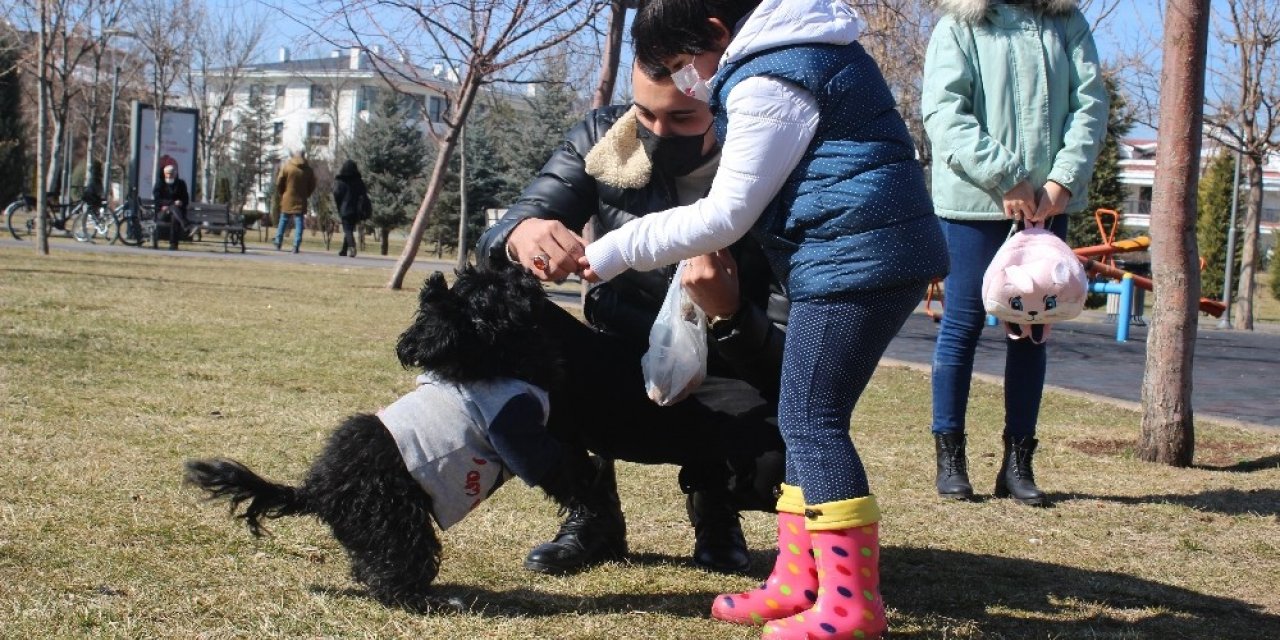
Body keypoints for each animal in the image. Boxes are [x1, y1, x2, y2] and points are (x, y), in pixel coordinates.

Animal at [183, 264, 601, 609]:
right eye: (497, 285)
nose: (521, 266)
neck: (491, 357)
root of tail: (316, 491)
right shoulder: (516, 429)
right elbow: (560, 469)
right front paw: (589, 488)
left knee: (369, 568)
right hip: (397, 521)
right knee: (395, 574)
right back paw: (432, 601)